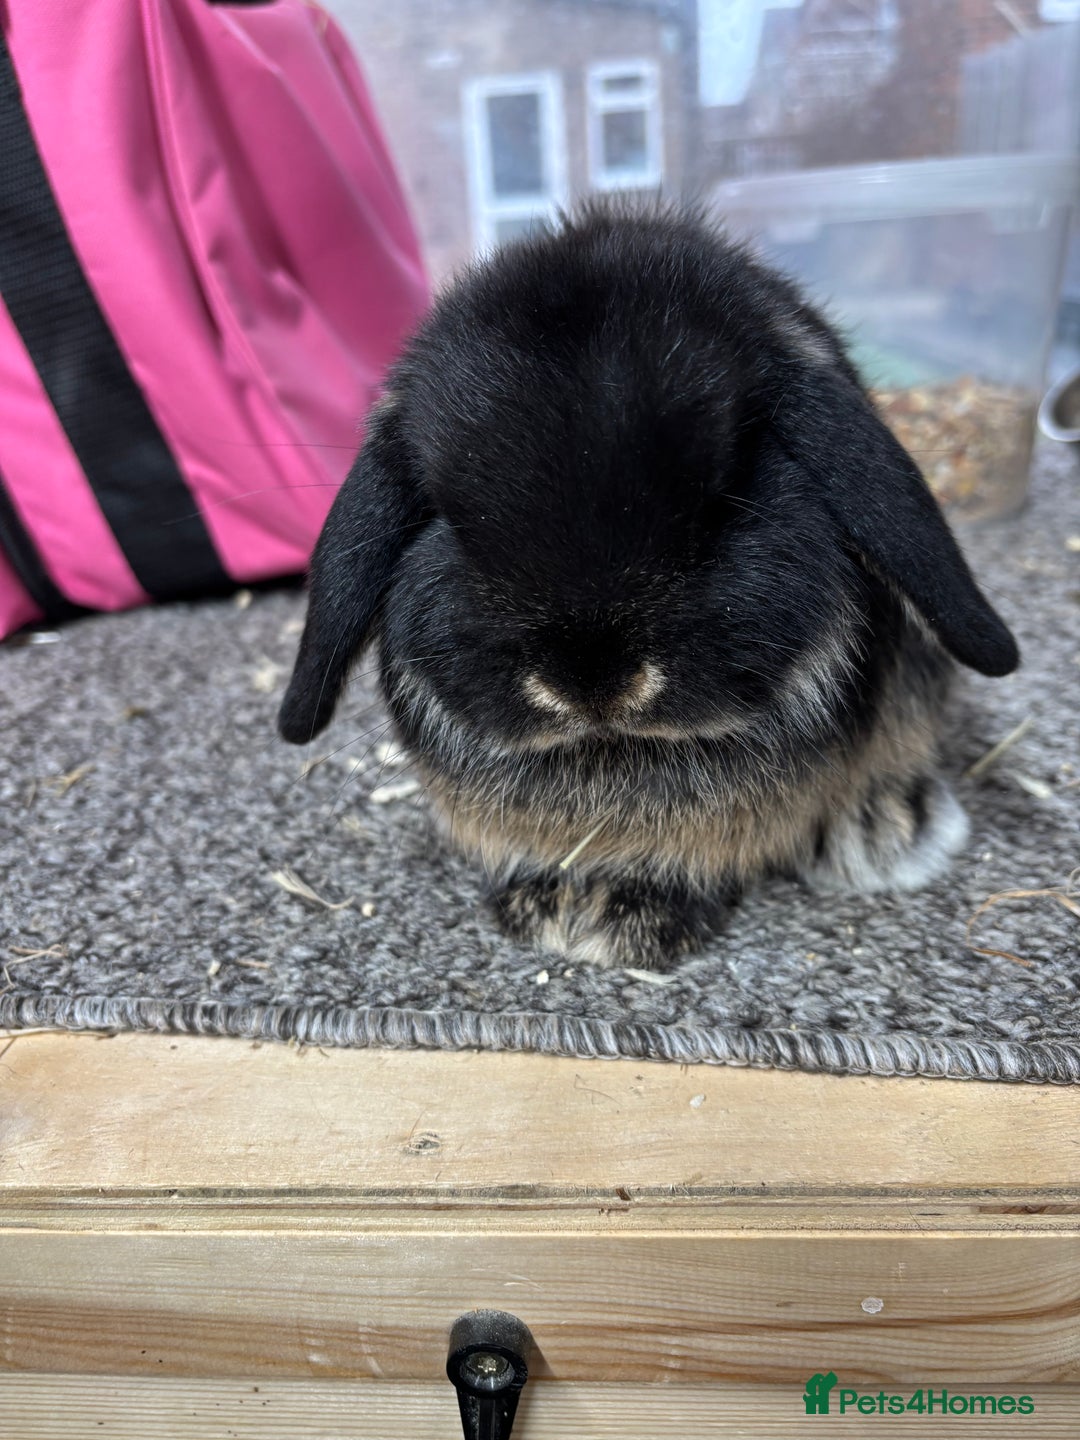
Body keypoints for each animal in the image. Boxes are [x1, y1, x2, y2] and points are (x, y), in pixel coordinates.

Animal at [278, 202, 1019, 969]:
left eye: (723, 500)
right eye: (451, 522)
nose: (591, 683)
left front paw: (621, 920)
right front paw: (552, 910)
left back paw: (880, 830)